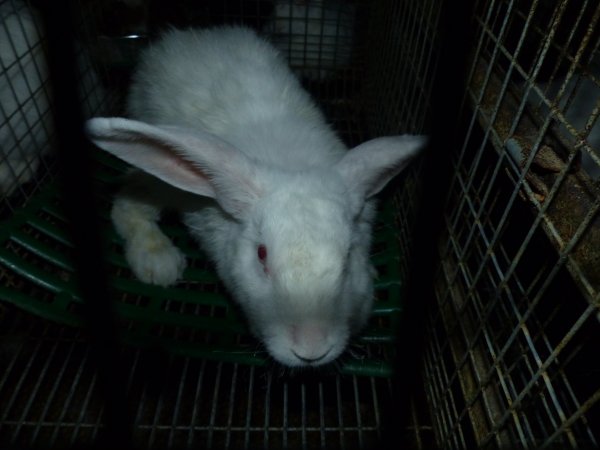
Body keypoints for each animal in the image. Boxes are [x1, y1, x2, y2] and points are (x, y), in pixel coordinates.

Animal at [84, 26, 426, 368]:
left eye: (348, 256)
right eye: (261, 255)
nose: (311, 350)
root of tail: (196, 33)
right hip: (161, 179)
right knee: (128, 204)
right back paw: (158, 261)